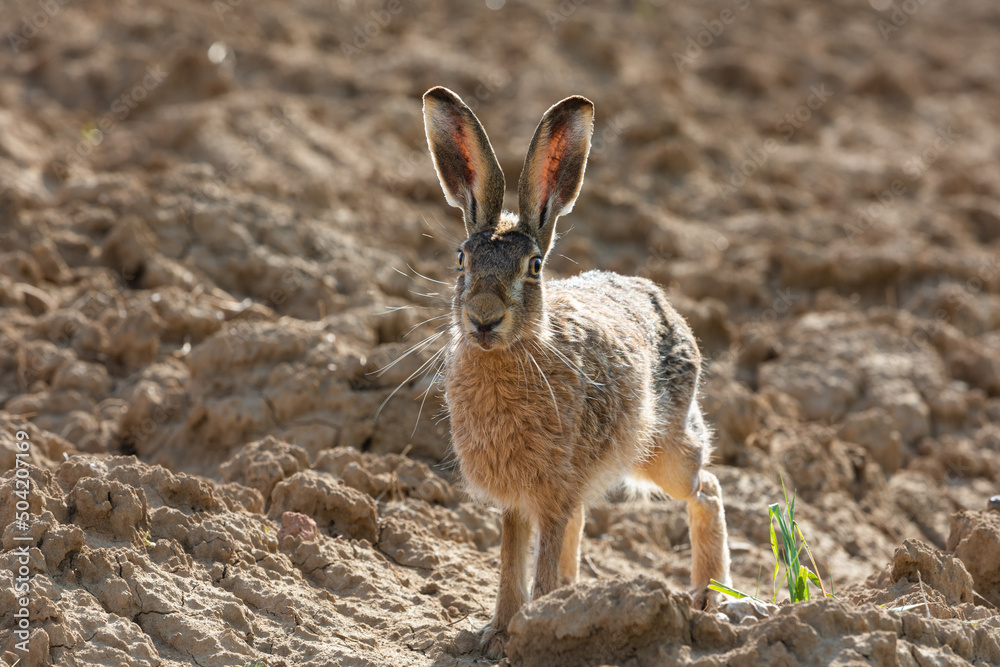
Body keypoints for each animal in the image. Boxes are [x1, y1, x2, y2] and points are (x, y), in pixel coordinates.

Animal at [422, 86, 731, 659]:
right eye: (460, 259)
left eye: (535, 267)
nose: (483, 318)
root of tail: (659, 299)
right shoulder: (518, 502)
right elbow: (510, 563)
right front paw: (497, 632)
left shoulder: (552, 493)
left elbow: (539, 563)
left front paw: (527, 633)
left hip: (665, 450)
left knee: (708, 489)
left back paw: (707, 601)